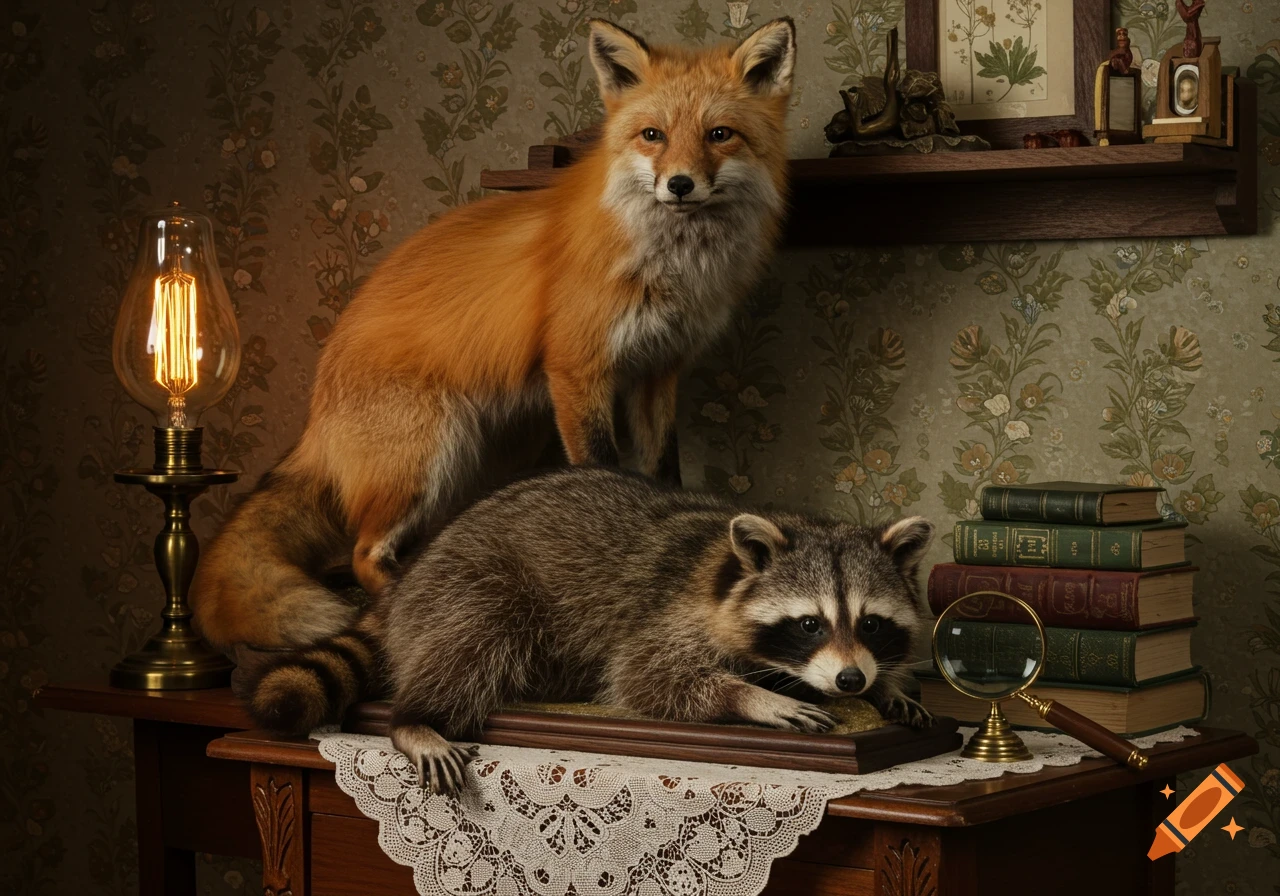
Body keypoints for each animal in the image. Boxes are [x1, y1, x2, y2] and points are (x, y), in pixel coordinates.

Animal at [191, 18, 798, 649]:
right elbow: (602, 465)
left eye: (719, 135)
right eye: (652, 135)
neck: (668, 263)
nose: (679, 184)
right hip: (428, 457)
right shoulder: (578, 367)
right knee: (362, 554)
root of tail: (318, 410)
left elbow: (664, 471)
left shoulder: (658, 371)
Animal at [240, 467, 937, 795]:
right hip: (471, 582)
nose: (850, 679)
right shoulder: (669, 615)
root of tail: (410, 577)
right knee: (476, 636)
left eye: (871, 624)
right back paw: (416, 718)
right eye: (809, 624)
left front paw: (887, 689)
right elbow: (647, 678)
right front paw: (753, 696)